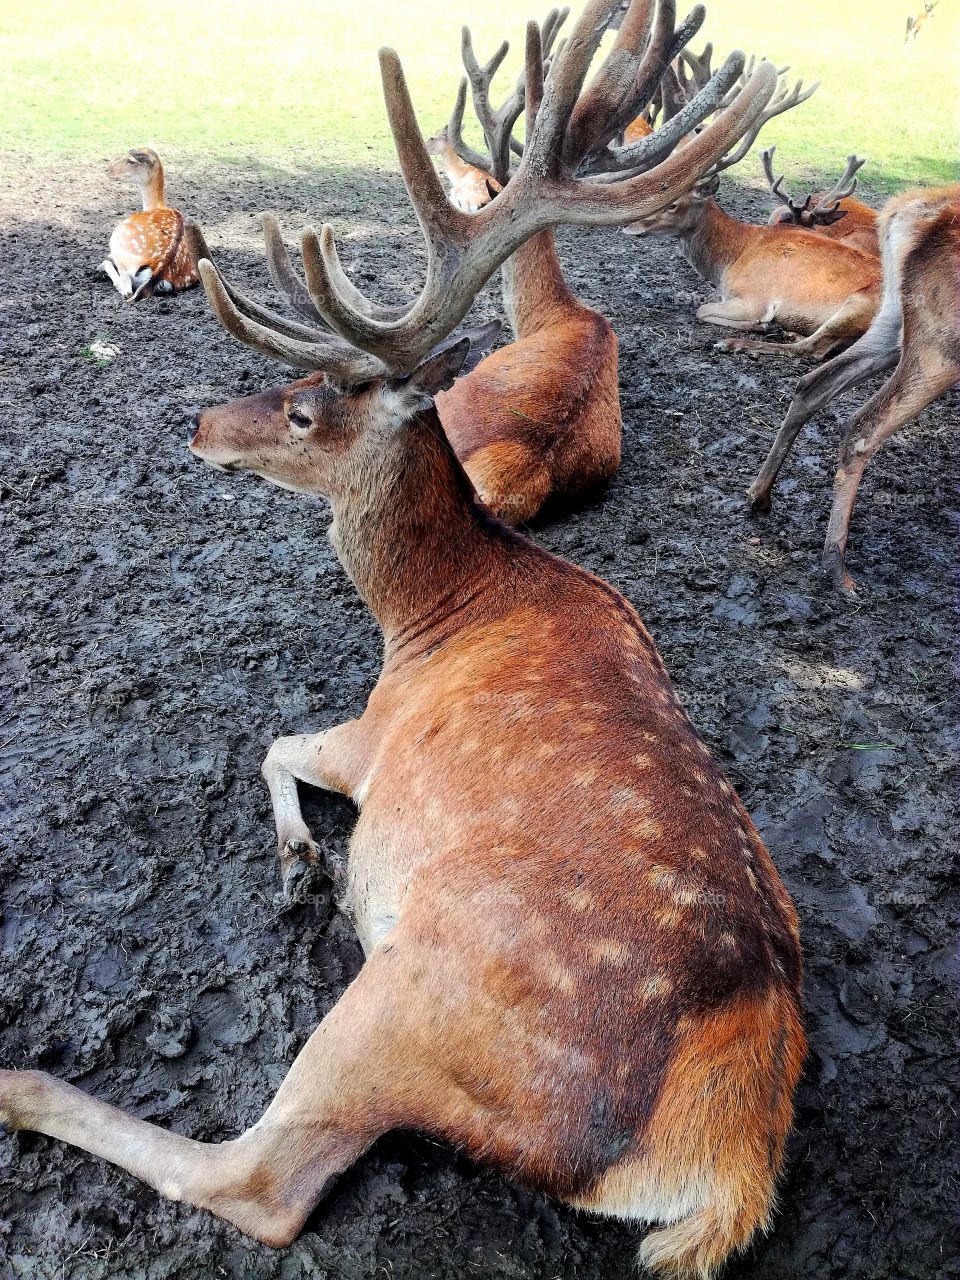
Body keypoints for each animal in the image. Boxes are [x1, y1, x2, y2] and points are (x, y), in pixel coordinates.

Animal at [102, 147, 199, 302]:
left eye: (131, 161)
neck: (155, 205)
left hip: (118, 236)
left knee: (126, 289)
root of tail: (158, 270)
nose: (107, 169)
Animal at [747, 183, 960, 591]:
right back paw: (836, 565)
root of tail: (905, 213)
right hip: (942, 346)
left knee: (812, 383)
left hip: (892, 321)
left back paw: (760, 494)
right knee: (864, 424)